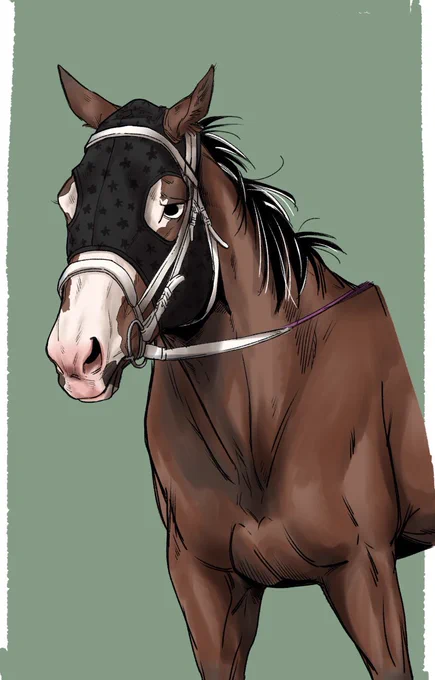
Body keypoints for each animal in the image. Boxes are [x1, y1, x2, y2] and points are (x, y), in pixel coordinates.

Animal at [46, 66, 435, 679]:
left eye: (171, 205)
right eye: (68, 198)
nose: (76, 352)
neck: (261, 415)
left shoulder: (366, 571)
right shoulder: (207, 585)